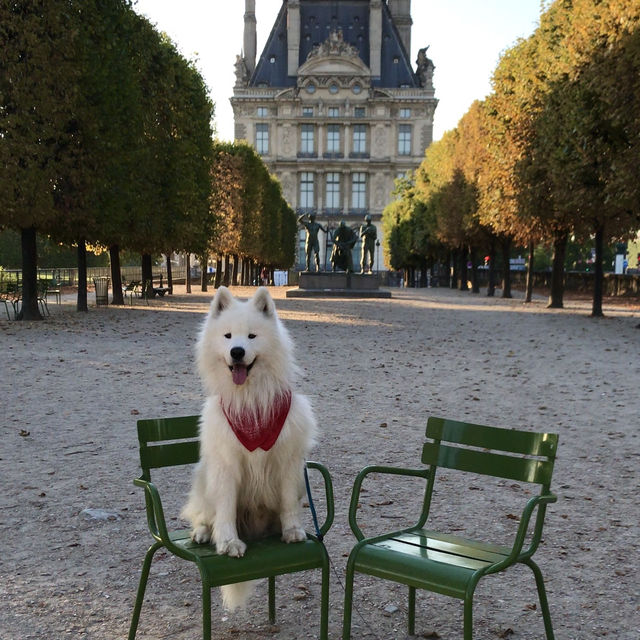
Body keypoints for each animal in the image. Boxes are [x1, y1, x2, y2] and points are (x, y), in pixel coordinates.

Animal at [181, 286, 316, 608]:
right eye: (228, 336)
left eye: (252, 336)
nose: (237, 352)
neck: (250, 402)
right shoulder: (226, 466)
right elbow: (226, 508)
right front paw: (228, 542)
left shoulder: (289, 462)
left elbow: (289, 502)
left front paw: (292, 531)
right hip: (203, 479)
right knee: (202, 513)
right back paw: (202, 533)